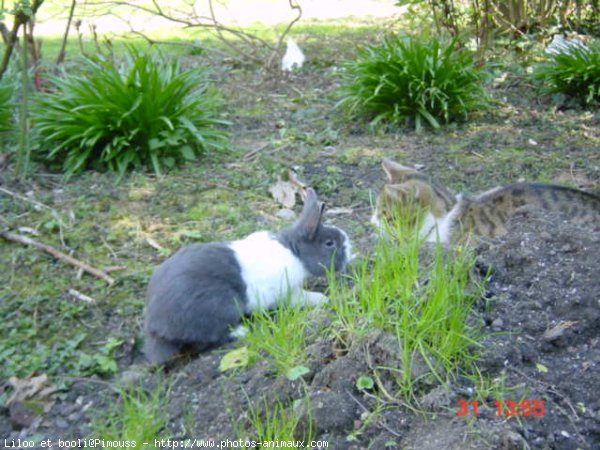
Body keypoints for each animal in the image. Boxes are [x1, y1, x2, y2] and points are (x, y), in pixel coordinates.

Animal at [144, 188, 352, 364]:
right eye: (329, 243)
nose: (350, 251)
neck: (295, 252)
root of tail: (156, 326)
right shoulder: (285, 293)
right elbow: (301, 298)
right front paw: (322, 299)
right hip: (221, 307)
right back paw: (243, 331)